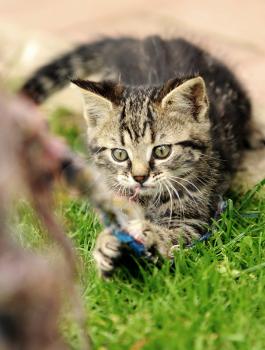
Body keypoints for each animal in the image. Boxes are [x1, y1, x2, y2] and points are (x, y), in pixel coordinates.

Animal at [20, 36, 250, 276]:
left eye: (162, 151)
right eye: (120, 154)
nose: (139, 177)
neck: (148, 200)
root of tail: (145, 40)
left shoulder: (195, 217)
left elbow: (177, 234)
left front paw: (148, 233)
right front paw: (104, 246)